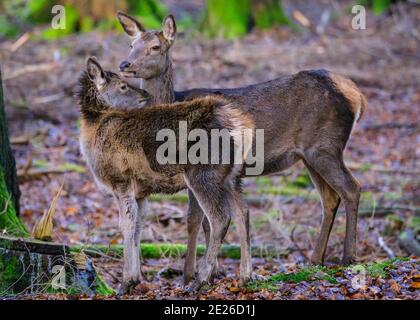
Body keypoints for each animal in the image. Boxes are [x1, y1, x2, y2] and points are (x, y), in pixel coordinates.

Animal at [79, 57, 256, 292]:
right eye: (123, 86)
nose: (145, 95)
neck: (93, 131)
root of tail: (241, 126)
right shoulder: (140, 190)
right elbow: (138, 227)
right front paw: (136, 278)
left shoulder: (120, 180)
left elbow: (126, 225)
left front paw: (125, 283)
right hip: (232, 177)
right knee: (242, 212)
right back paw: (245, 276)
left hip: (204, 173)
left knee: (220, 218)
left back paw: (200, 280)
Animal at [118, 11, 368, 282]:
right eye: (131, 45)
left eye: (155, 47)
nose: (125, 65)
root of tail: (358, 95)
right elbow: (211, 219)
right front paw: (214, 271)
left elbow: (195, 220)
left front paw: (191, 274)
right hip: (310, 156)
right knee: (330, 198)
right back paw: (315, 259)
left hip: (324, 147)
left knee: (352, 188)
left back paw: (348, 257)